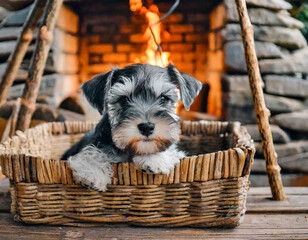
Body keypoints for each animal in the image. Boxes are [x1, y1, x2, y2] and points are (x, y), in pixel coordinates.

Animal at [62, 63, 202, 191]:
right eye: (124, 99)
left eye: (163, 98)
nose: (147, 127)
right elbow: (93, 151)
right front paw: (92, 171)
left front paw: (153, 159)